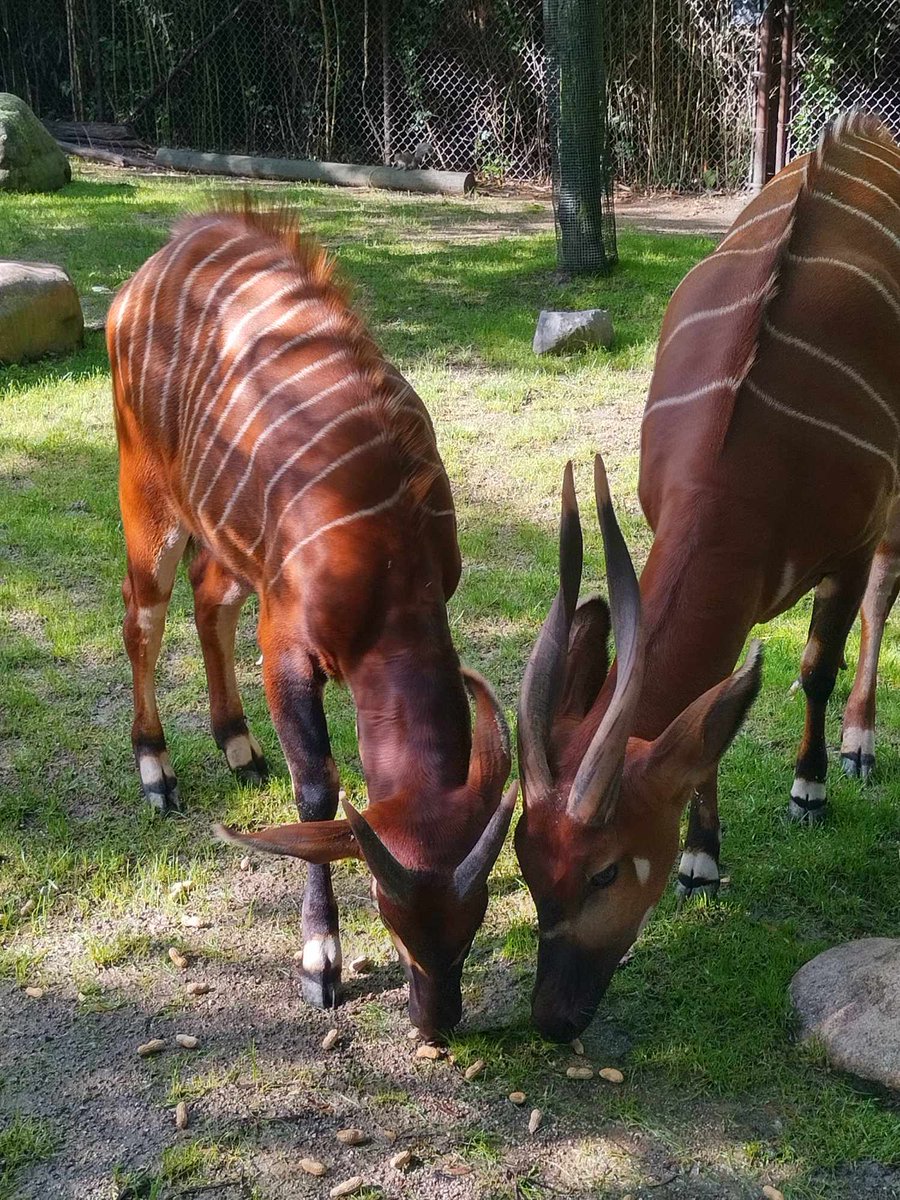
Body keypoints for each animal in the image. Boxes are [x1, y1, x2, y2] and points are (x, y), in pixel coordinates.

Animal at [107, 201, 513, 1036]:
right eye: (392, 917)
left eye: (474, 921)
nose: (438, 1019)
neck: (387, 553)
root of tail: (148, 270)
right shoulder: (286, 643)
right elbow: (318, 793)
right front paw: (319, 960)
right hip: (147, 497)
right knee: (144, 616)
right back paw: (157, 770)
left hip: (227, 543)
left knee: (208, 598)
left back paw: (239, 747)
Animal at [513, 114, 900, 1051]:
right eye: (524, 859)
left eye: (605, 871)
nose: (552, 1018)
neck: (744, 445)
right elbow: (712, 709)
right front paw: (699, 858)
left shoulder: (848, 544)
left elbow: (813, 665)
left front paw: (809, 788)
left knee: (883, 593)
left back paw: (858, 745)